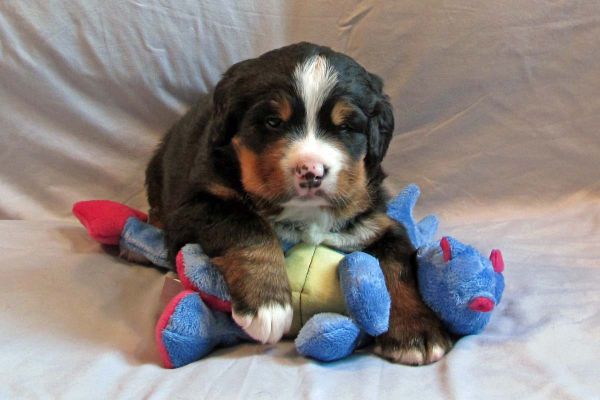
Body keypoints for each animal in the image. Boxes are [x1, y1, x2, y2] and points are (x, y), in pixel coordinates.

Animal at [146, 42, 450, 364]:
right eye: (272, 122)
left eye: (345, 127)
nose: (311, 171)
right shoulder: (193, 209)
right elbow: (248, 225)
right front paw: (268, 304)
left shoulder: (376, 221)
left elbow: (398, 267)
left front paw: (417, 333)